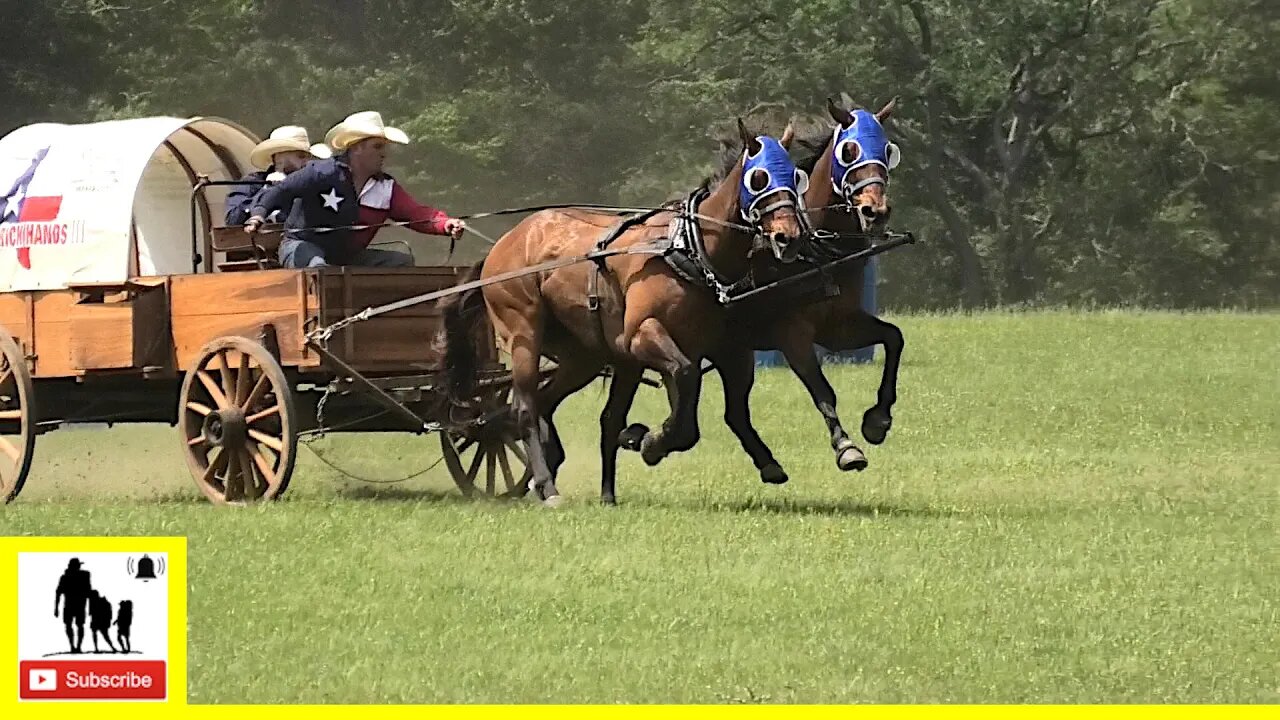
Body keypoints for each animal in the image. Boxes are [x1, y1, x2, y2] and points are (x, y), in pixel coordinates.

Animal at [435, 120, 803, 504]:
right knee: (524, 407)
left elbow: (704, 412)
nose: (788, 237)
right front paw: (649, 441)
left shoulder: (722, 348)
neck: (689, 248)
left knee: (547, 401)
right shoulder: (644, 337)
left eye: (795, 175)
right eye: (758, 178)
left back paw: (564, 472)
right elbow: (685, 380)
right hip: (524, 333)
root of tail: (502, 246)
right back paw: (547, 485)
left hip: (582, 357)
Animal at [624, 96, 906, 481]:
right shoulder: (793, 333)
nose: (875, 210)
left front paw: (878, 420)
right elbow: (822, 389)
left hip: (729, 350)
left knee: (724, 409)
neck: (814, 248)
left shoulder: (839, 326)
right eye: (849, 151)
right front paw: (847, 447)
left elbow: (893, 338)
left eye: (887, 150)